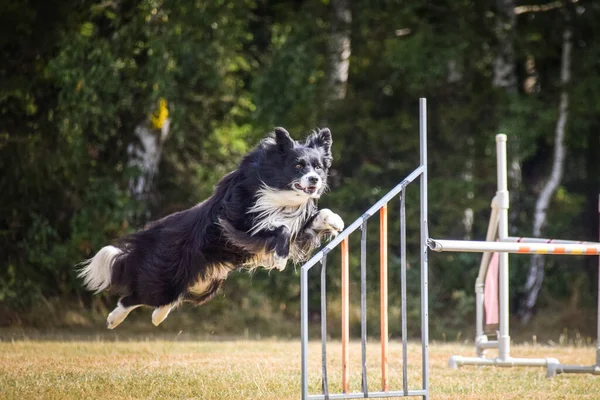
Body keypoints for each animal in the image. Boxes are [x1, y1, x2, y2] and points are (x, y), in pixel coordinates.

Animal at [77, 128, 344, 328]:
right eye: (298, 166)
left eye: (319, 167)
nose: (315, 180)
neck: (279, 191)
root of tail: (152, 235)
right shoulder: (239, 224)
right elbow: (279, 229)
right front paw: (279, 259)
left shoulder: (297, 227)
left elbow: (315, 218)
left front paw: (337, 221)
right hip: (166, 275)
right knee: (136, 296)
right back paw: (114, 319)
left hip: (203, 281)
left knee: (173, 296)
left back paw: (157, 317)